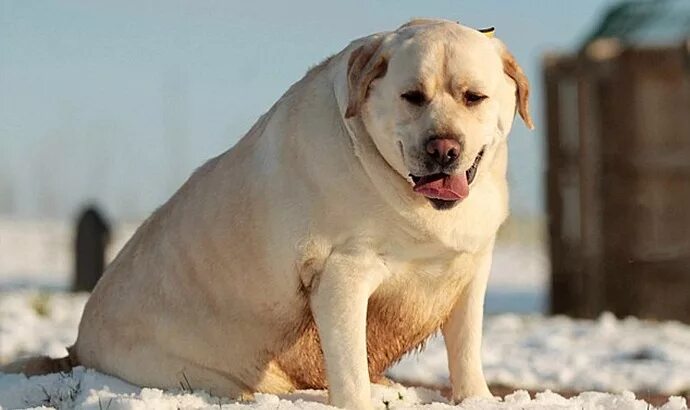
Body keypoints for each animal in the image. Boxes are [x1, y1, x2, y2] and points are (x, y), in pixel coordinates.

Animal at [6, 18, 532, 410]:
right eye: (413, 96)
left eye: (473, 97)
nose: (443, 148)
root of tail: (77, 348)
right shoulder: (342, 275)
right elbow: (349, 366)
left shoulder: (470, 268)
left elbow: (466, 348)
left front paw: (477, 398)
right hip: (203, 375)